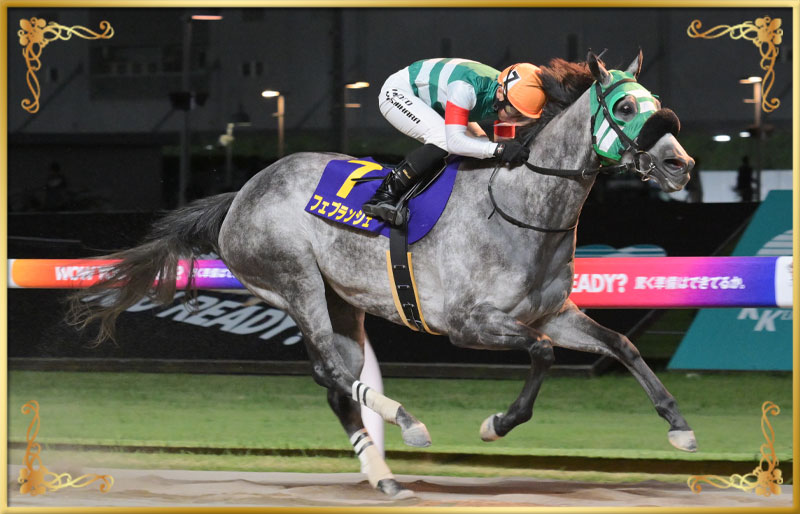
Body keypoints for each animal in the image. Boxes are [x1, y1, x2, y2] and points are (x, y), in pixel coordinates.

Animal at [68, 51, 696, 499]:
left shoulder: (553, 313)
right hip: (293, 281)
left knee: (335, 380)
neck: (520, 209)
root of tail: (241, 194)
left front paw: (678, 425)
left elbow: (620, 345)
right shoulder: (468, 323)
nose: (680, 164)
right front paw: (496, 423)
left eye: (656, 103)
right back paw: (407, 423)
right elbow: (541, 354)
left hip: (341, 300)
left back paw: (384, 475)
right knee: (329, 367)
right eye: (623, 109)